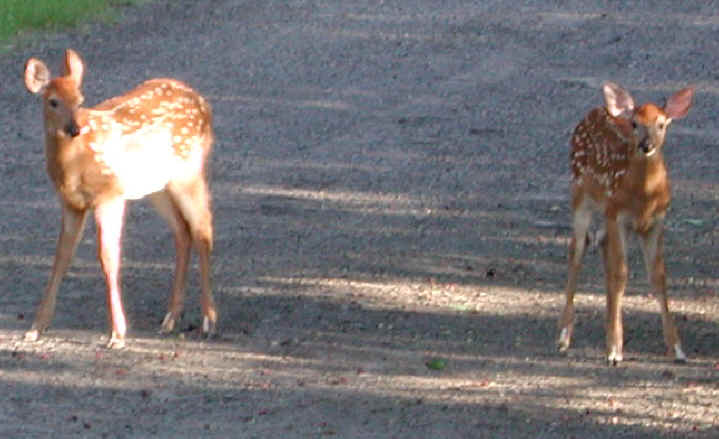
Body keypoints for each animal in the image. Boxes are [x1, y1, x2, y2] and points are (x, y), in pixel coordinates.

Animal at [22, 49, 217, 348]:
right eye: (53, 101)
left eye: (80, 100)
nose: (74, 129)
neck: (73, 164)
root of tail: (203, 103)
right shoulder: (70, 203)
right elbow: (61, 256)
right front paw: (36, 328)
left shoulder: (109, 194)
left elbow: (108, 257)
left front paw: (118, 333)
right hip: (157, 186)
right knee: (182, 232)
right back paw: (171, 317)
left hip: (188, 170)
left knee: (202, 229)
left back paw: (208, 320)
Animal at [557, 81, 694, 365]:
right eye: (634, 124)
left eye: (662, 124)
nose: (646, 145)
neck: (644, 197)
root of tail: (595, 110)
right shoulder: (617, 215)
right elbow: (620, 275)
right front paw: (614, 350)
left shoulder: (656, 221)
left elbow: (658, 277)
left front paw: (677, 349)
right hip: (581, 194)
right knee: (577, 250)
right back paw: (564, 336)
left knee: (601, 249)